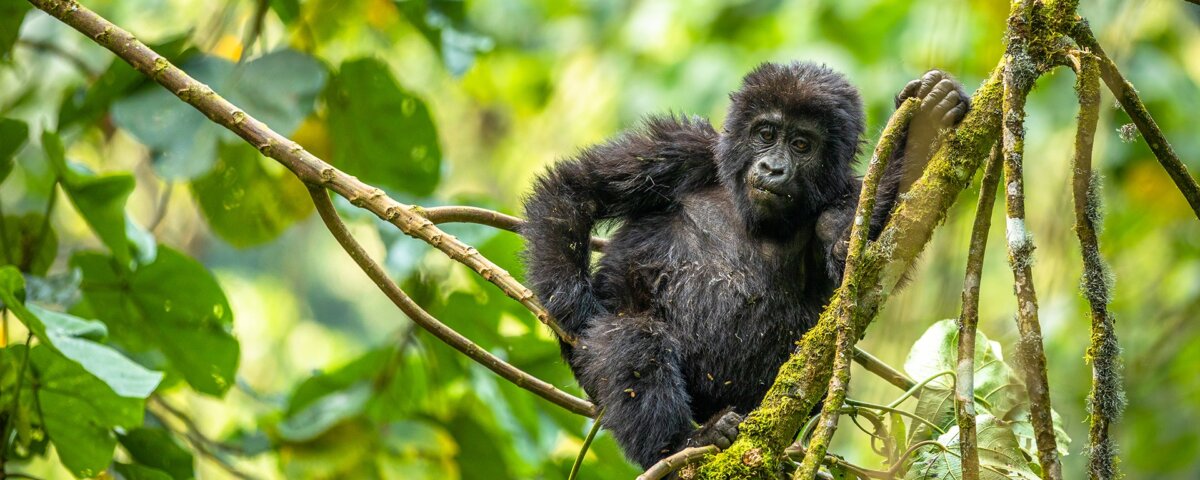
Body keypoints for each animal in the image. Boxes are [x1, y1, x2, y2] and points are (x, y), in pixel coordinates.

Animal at [521, 63, 969, 469]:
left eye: (802, 144)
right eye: (765, 134)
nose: (773, 168)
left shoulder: (847, 198)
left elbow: (859, 258)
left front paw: (924, 125)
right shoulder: (682, 148)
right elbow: (577, 189)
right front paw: (575, 309)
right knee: (631, 339)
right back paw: (680, 443)